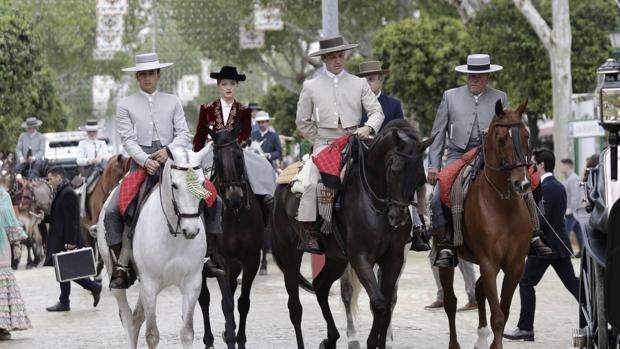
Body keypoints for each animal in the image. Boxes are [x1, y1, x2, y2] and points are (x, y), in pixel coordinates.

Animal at [97, 145, 212, 348]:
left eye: (203, 184)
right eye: (175, 185)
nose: (191, 230)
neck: (173, 234)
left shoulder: (192, 284)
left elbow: (187, 332)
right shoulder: (150, 285)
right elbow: (152, 335)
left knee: (137, 318)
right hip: (119, 277)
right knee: (127, 317)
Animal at [197, 124, 262, 348]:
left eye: (239, 154)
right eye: (216, 158)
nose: (235, 198)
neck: (236, 216)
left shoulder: (251, 259)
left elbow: (243, 303)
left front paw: (238, 338)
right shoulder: (222, 261)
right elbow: (227, 304)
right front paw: (232, 338)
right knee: (204, 298)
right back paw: (209, 339)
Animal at [272, 120, 436, 348]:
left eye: (420, 176)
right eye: (395, 169)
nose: (398, 218)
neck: (375, 202)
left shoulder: (393, 259)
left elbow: (387, 304)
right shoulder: (360, 258)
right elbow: (379, 303)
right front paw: (370, 341)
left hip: (337, 258)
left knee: (321, 286)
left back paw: (331, 339)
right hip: (290, 255)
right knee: (295, 307)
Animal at [438, 98, 536, 348]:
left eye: (526, 136)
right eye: (501, 139)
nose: (522, 184)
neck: (503, 205)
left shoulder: (515, 265)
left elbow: (504, 310)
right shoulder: (489, 262)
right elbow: (498, 316)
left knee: (479, 290)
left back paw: (481, 338)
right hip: (446, 259)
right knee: (451, 302)